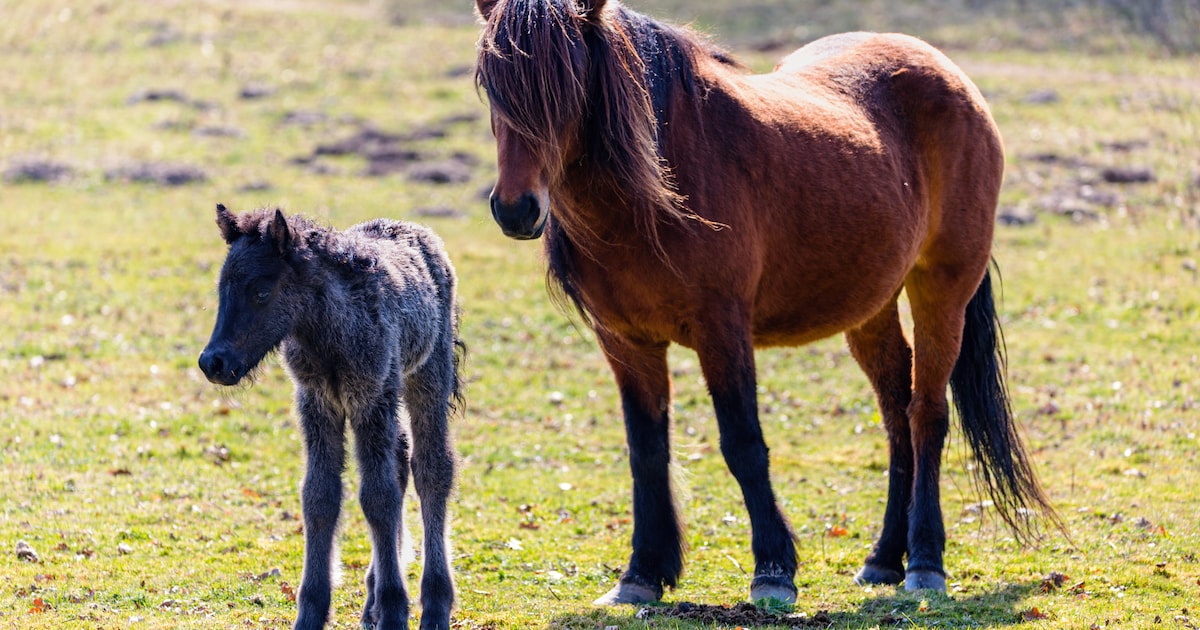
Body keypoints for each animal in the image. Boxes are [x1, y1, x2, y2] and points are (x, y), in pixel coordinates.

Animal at [198, 204, 463, 630]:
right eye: (223, 289)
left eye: (261, 292)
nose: (213, 363)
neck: (327, 334)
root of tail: (418, 232)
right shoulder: (317, 404)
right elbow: (319, 497)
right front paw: (311, 611)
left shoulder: (371, 397)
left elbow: (378, 497)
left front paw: (395, 608)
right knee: (401, 463)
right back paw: (372, 601)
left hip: (427, 375)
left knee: (431, 470)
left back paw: (435, 604)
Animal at [475, 0, 1060, 606]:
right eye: (491, 83)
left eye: (565, 85)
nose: (516, 209)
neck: (656, 188)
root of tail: (949, 72)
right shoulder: (626, 341)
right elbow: (646, 451)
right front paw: (640, 575)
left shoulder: (721, 328)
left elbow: (743, 444)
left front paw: (774, 571)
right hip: (871, 307)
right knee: (896, 414)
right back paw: (882, 560)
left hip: (942, 290)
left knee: (926, 415)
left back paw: (924, 562)